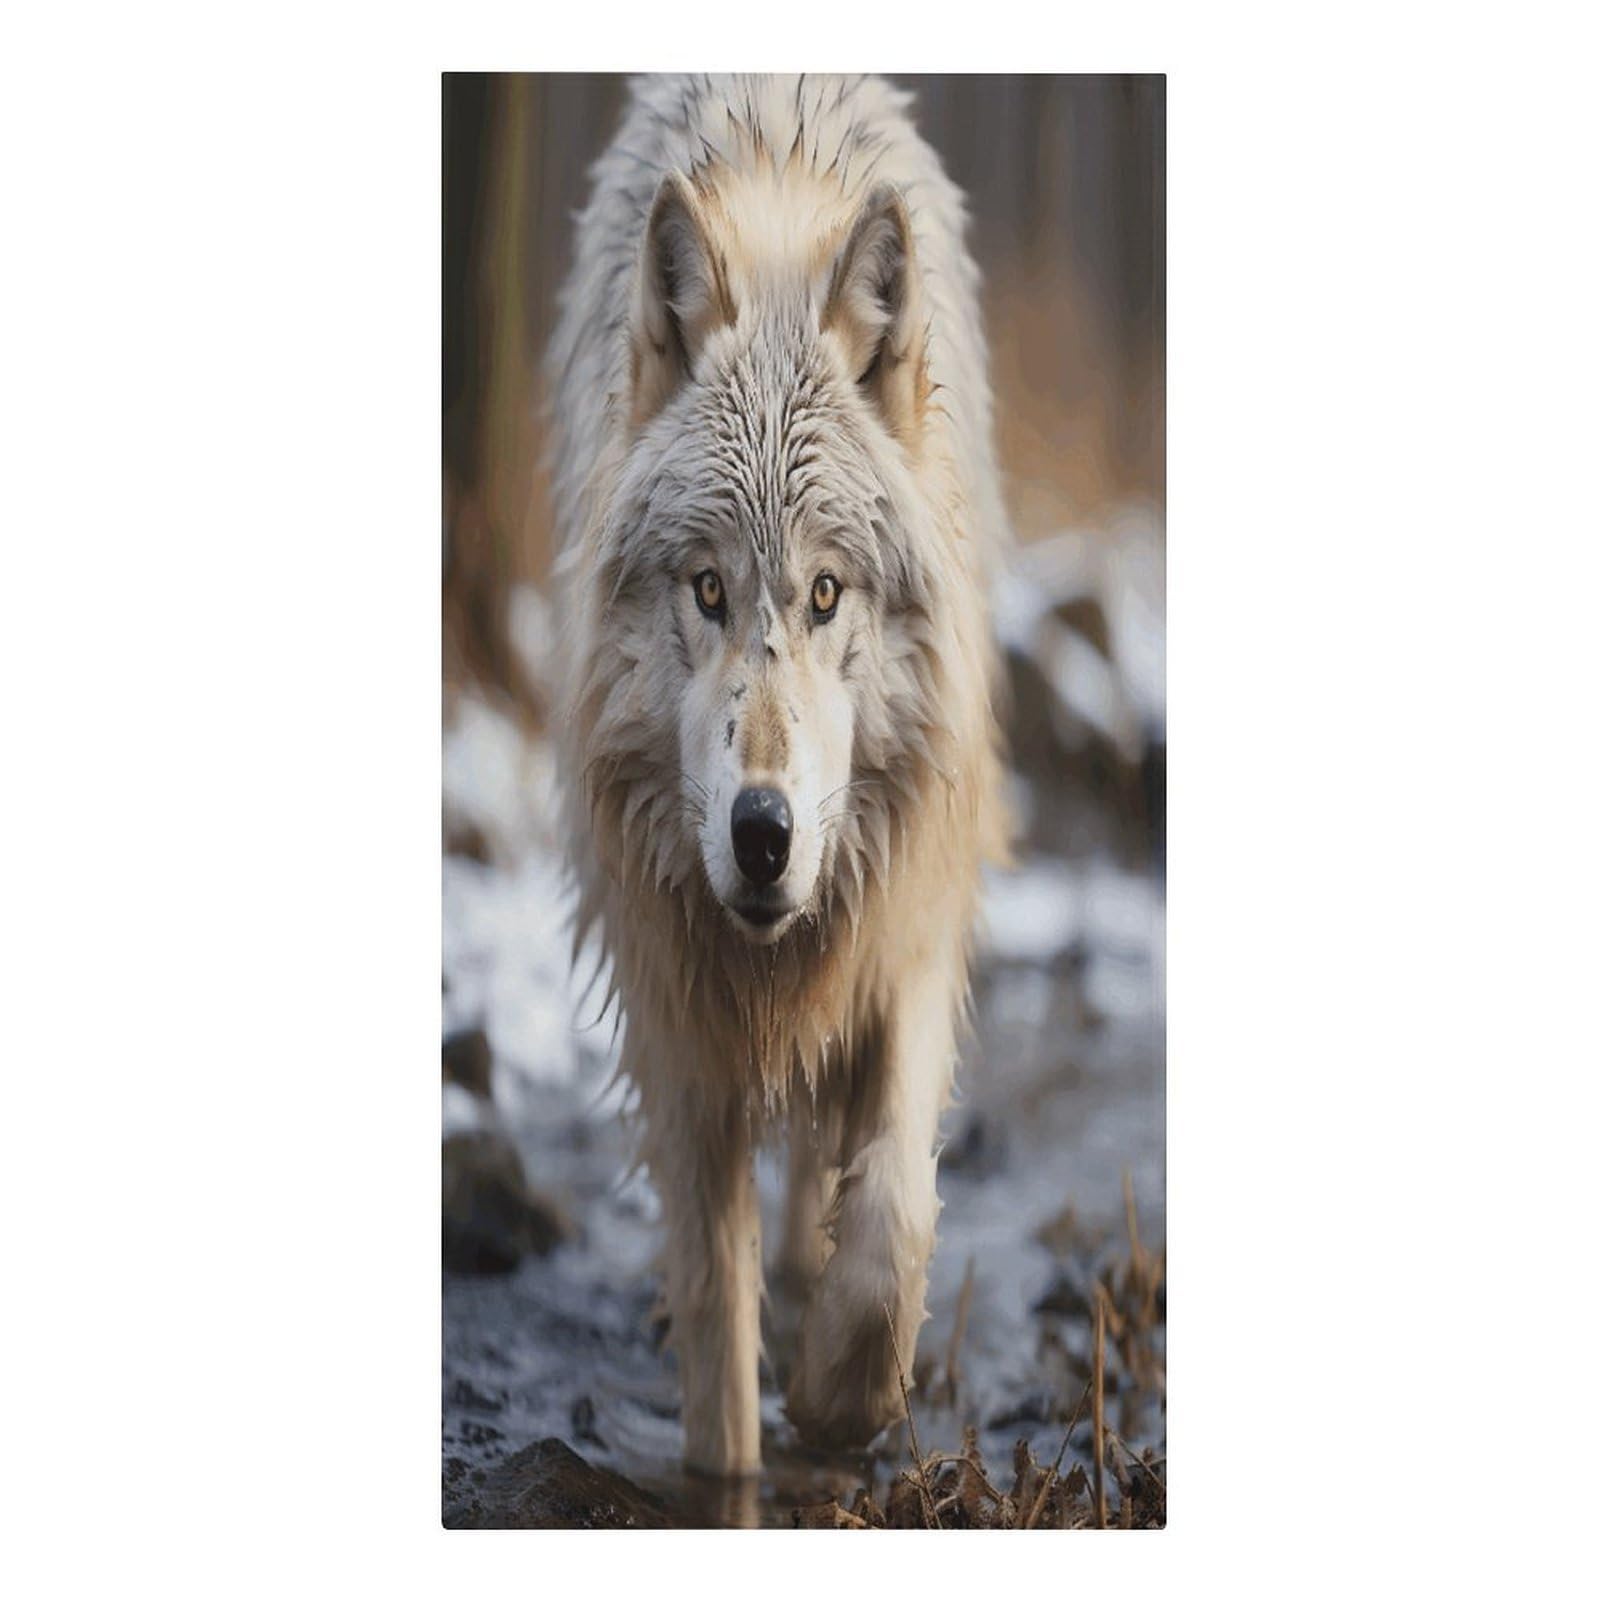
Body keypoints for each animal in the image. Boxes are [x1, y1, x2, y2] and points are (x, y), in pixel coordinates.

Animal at [548, 74, 1008, 1476]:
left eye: (822, 593)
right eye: (706, 589)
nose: (762, 834)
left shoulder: (901, 919)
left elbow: (895, 1211)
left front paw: (840, 1394)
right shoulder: (673, 1003)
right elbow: (712, 1307)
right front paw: (740, 1458)